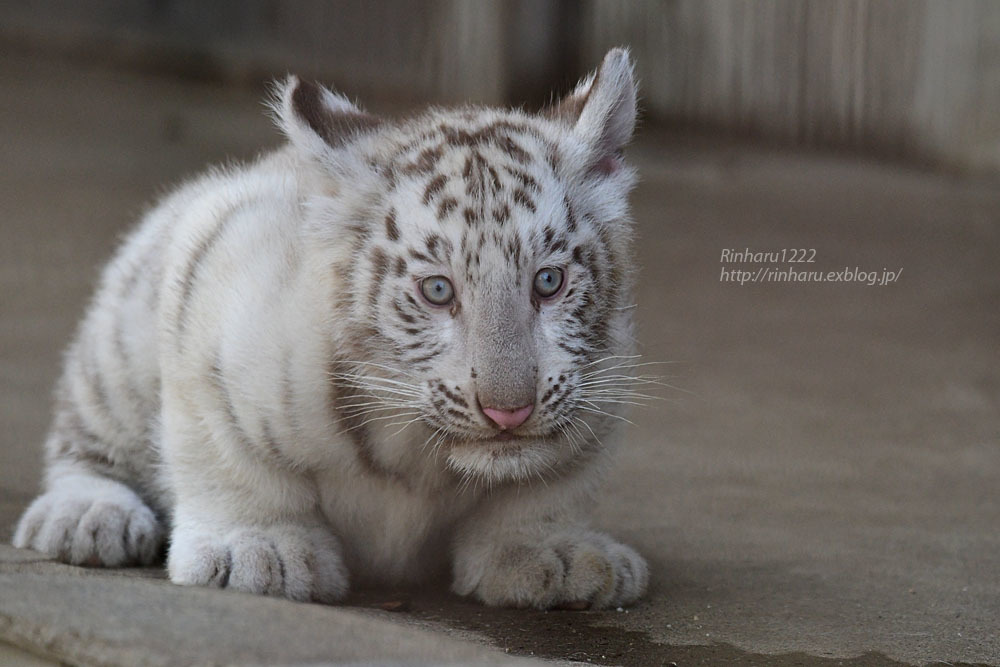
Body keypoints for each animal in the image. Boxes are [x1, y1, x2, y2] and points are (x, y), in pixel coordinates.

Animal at [13, 47, 649, 609]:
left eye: (549, 281)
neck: (421, 456)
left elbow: (550, 484)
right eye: (437, 290)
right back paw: (89, 516)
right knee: (84, 439)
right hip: (118, 346)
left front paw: (553, 553)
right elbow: (225, 455)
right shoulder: (215, 280)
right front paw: (258, 551)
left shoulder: (600, 391)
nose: (508, 411)